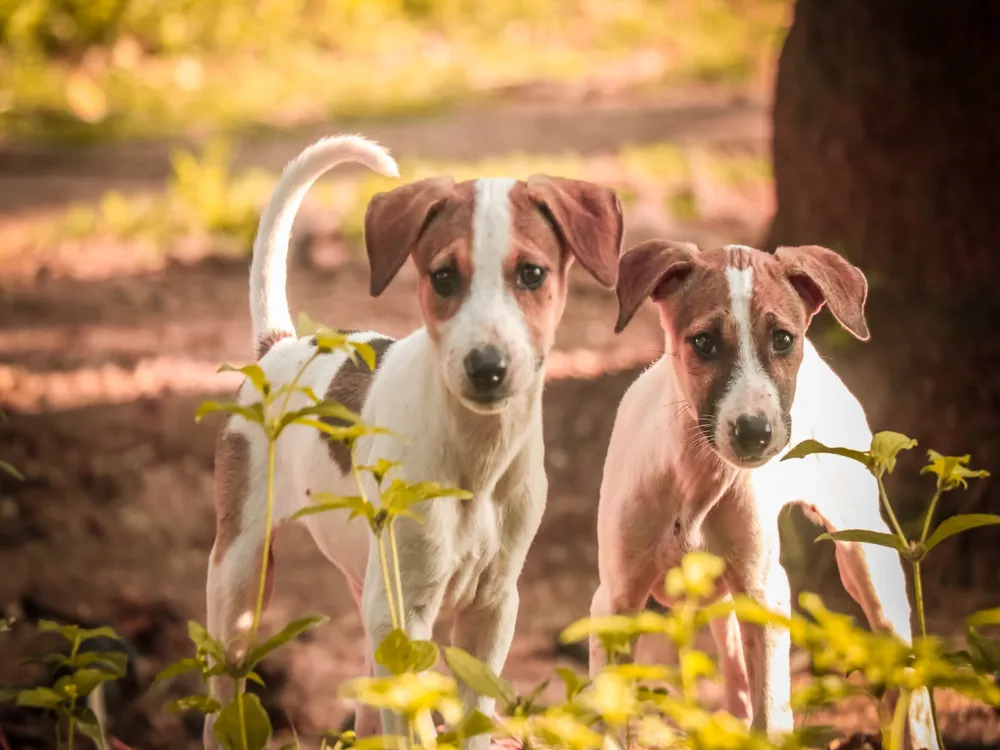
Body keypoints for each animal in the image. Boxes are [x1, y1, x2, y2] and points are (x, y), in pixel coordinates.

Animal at [203, 132, 620, 748]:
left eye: (532, 274)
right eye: (444, 277)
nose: (487, 367)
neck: (476, 456)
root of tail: (278, 348)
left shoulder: (493, 607)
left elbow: (472, 717)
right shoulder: (404, 611)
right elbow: (413, 715)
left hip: (364, 586)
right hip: (240, 579)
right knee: (220, 701)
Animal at [584, 242, 936, 750]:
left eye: (783, 339)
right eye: (704, 343)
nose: (755, 431)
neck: (696, 478)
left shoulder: (765, 594)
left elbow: (771, 718)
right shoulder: (615, 601)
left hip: (867, 557)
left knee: (906, 672)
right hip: (718, 600)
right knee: (737, 681)